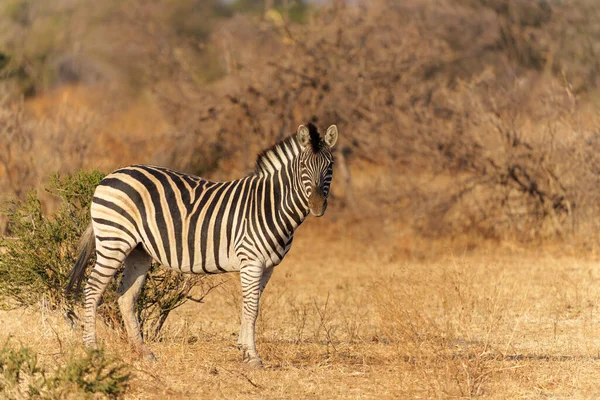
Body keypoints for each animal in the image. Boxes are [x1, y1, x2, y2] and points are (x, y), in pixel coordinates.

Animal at [67, 122, 338, 366]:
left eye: (330, 166)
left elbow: (251, 306)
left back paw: (145, 354)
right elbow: (251, 307)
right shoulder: (251, 260)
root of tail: (111, 175)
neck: (270, 204)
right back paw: (92, 349)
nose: (317, 206)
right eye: (303, 166)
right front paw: (252, 356)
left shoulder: (267, 266)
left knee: (125, 297)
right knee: (92, 290)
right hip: (114, 240)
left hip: (138, 250)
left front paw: (243, 349)